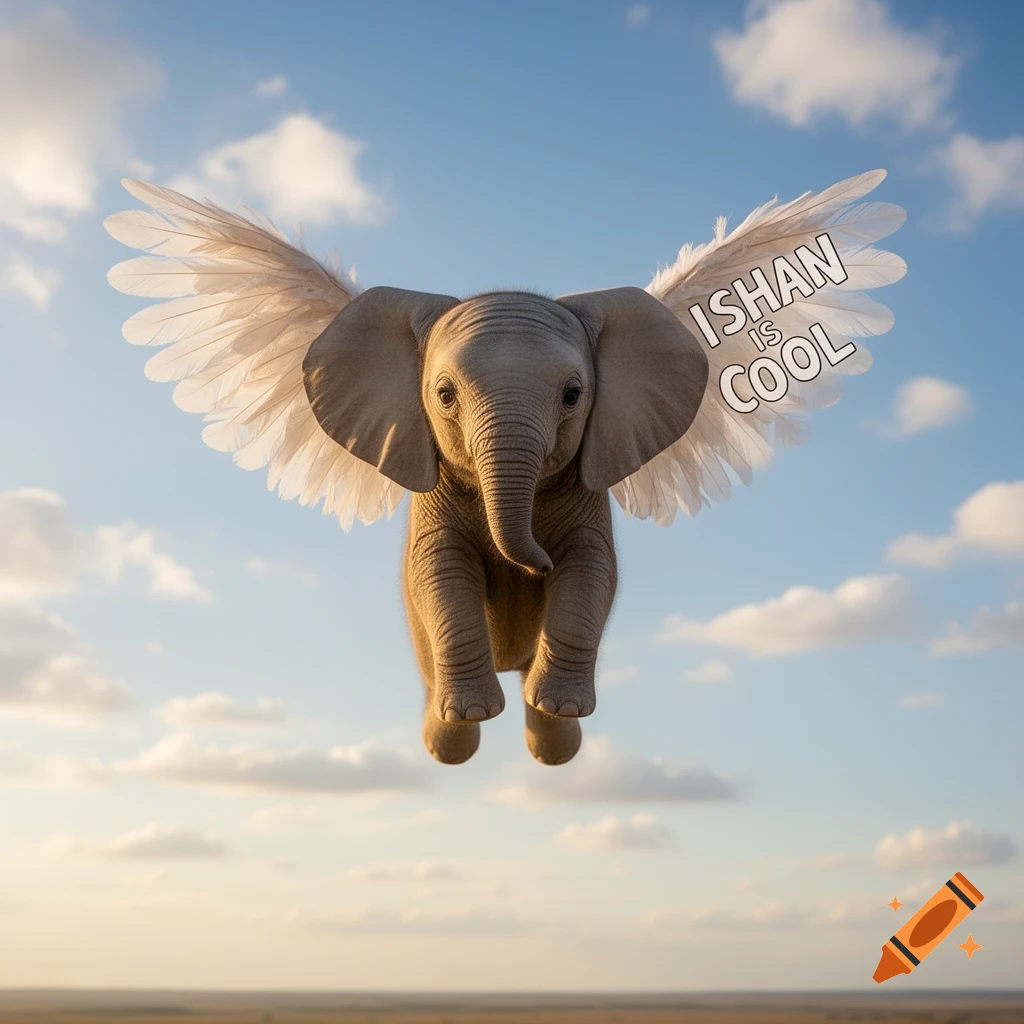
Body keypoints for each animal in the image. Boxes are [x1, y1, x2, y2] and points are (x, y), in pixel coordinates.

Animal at [303, 286, 708, 765]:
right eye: (444, 394)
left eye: (573, 395)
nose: (538, 567)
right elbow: (438, 569)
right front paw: (473, 712)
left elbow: (592, 564)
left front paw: (562, 705)